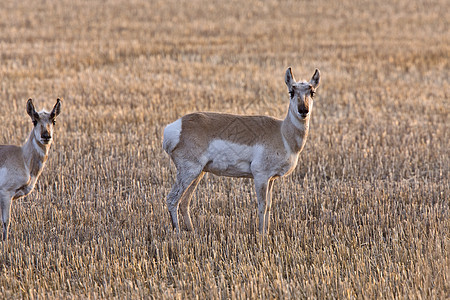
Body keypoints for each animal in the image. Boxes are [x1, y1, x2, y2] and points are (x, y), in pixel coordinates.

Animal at [0, 99, 60, 240]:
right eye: (34, 121)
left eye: (54, 120)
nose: (46, 136)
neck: (23, 157)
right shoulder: (5, 193)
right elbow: (6, 221)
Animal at [163, 67, 322, 234]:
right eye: (291, 91)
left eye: (312, 92)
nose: (303, 110)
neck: (282, 133)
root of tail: (176, 126)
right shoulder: (260, 176)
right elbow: (262, 206)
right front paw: (261, 234)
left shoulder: (271, 179)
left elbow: (269, 206)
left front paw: (266, 232)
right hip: (189, 172)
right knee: (172, 199)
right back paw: (177, 233)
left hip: (198, 173)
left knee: (184, 201)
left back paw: (192, 231)